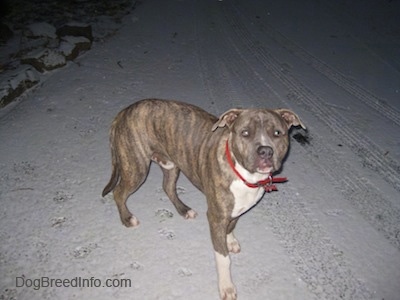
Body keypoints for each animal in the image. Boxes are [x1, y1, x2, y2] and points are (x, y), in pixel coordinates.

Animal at [101, 98, 304, 298]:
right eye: (245, 133)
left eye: (277, 133)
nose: (265, 151)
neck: (245, 175)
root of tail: (125, 111)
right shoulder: (216, 217)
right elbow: (223, 258)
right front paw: (226, 286)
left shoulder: (234, 209)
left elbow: (232, 225)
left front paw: (230, 240)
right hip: (136, 168)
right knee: (119, 192)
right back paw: (127, 218)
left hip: (171, 164)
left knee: (168, 187)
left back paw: (184, 210)